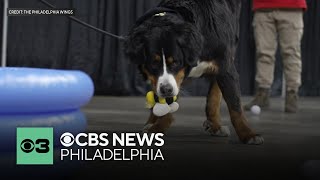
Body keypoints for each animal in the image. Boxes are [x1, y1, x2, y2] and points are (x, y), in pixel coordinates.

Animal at [124, 0, 264, 145]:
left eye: (175, 62)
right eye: (153, 64)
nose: (166, 89)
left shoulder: (225, 66)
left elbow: (234, 106)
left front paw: (247, 134)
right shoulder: (161, 80)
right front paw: (157, 126)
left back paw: (215, 125)